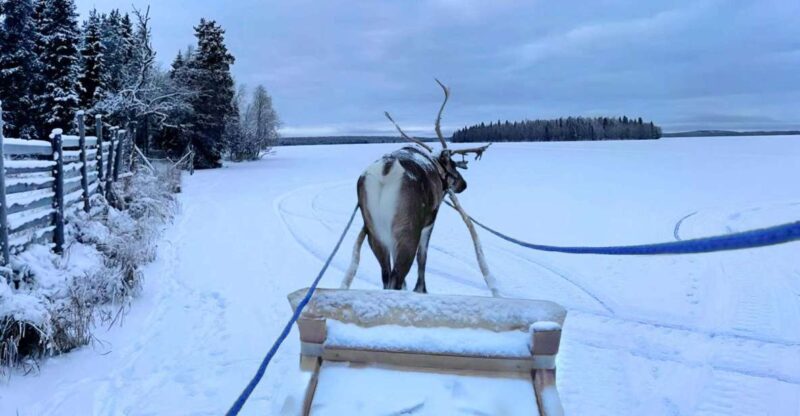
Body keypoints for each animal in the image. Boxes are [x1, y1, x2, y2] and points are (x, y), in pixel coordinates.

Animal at [344, 80, 491, 294]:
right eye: (453, 165)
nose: (464, 184)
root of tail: (386, 170)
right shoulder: (430, 220)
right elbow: (423, 257)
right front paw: (421, 288)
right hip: (407, 231)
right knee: (397, 276)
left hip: (374, 232)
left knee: (386, 275)